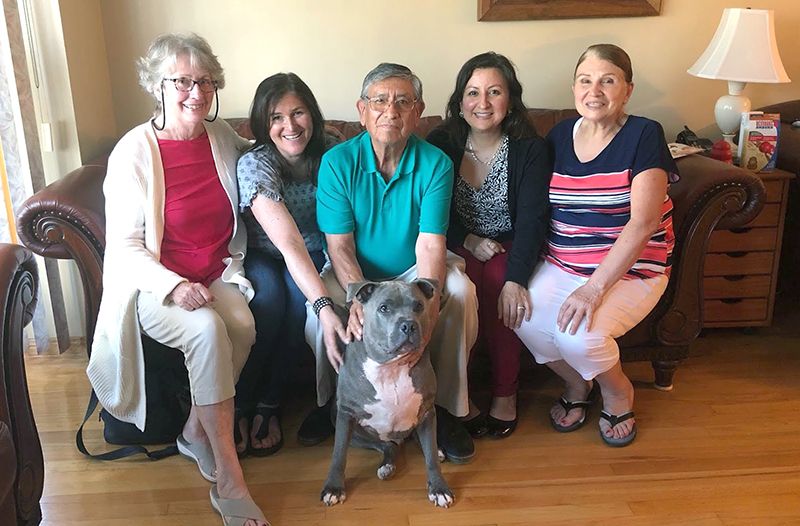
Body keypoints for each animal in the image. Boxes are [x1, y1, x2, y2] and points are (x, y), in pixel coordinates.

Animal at [320, 280, 456, 512]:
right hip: (355, 431)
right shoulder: (346, 414)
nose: (409, 325)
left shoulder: (427, 411)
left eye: (419, 306)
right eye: (384, 308)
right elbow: (338, 455)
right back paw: (387, 465)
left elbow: (430, 457)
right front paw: (333, 488)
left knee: (418, 442)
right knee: (386, 446)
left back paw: (434, 450)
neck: (391, 367)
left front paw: (439, 488)